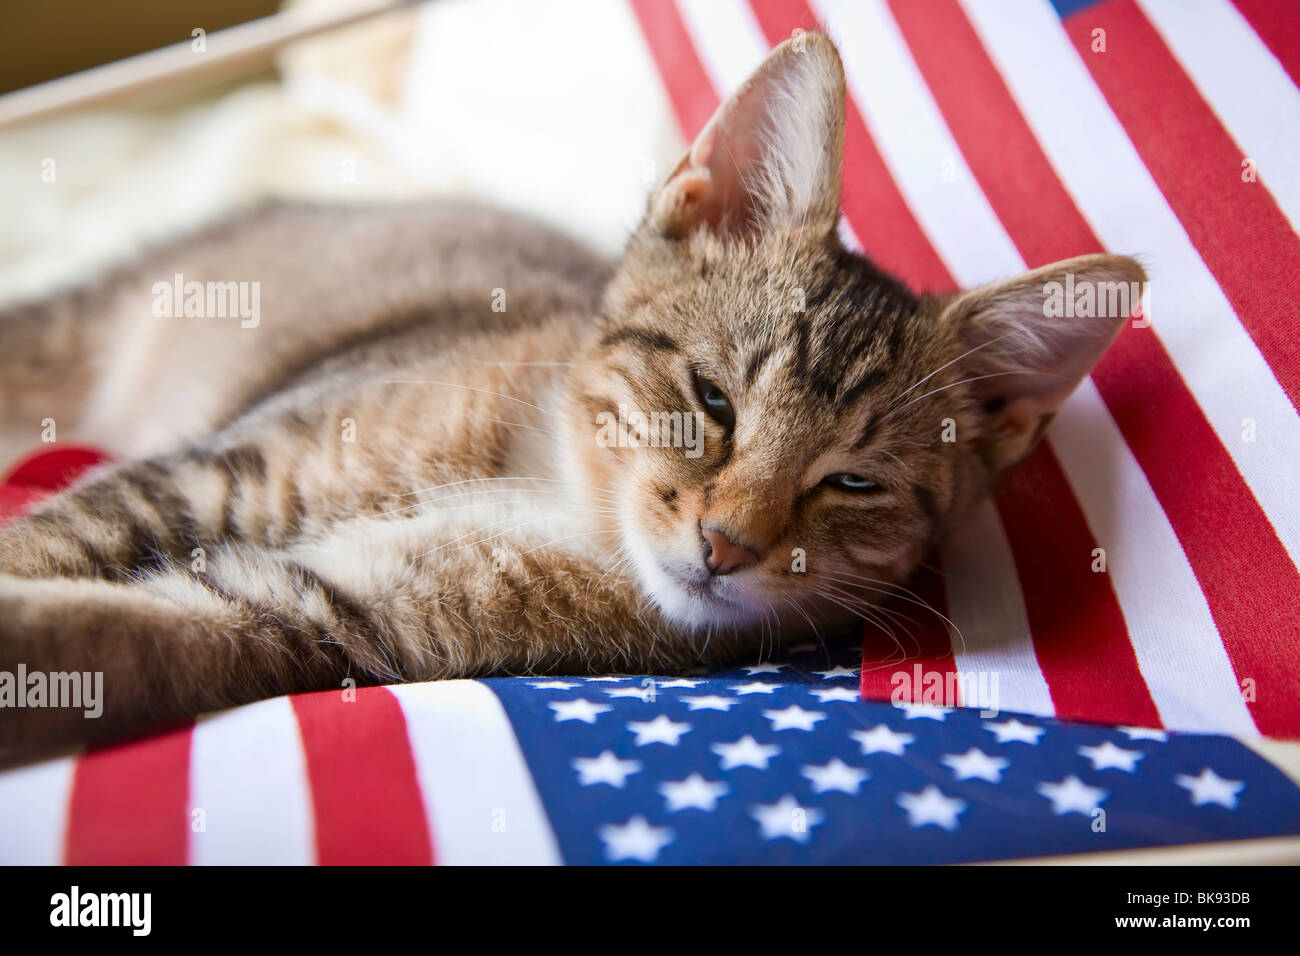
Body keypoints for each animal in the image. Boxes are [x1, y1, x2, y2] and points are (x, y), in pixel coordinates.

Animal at [0, 33, 1138, 759]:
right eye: (712, 397)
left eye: (854, 482)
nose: (725, 544)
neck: (557, 492)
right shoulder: (223, 472)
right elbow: (53, 538)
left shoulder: (322, 612)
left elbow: (131, 639)